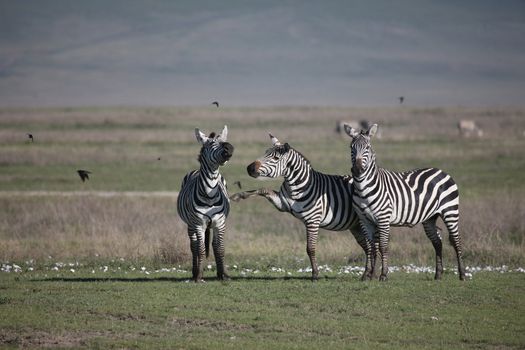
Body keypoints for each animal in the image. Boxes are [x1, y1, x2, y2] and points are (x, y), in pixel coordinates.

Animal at [176, 126, 233, 282]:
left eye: (223, 140)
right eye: (210, 143)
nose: (229, 147)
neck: (210, 195)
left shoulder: (220, 223)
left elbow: (220, 248)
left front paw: (224, 275)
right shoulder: (198, 224)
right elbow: (200, 249)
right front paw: (199, 276)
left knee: (213, 245)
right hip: (190, 224)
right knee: (194, 246)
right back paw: (195, 272)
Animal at [230, 134, 372, 282]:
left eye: (275, 158)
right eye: (265, 153)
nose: (249, 168)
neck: (297, 186)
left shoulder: (313, 221)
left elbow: (310, 248)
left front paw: (315, 275)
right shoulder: (282, 204)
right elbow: (263, 189)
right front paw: (238, 195)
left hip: (363, 221)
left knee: (371, 246)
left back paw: (367, 274)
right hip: (355, 226)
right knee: (367, 246)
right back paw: (369, 274)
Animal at [346, 123, 464, 282]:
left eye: (368, 147)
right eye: (351, 147)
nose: (358, 169)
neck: (363, 189)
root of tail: (442, 171)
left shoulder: (383, 218)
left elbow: (382, 246)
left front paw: (383, 275)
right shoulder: (365, 220)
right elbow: (371, 247)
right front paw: (368, 275)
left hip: (450, 211)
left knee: (456, 241)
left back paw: (462, 274)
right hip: (430, 218)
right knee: (437, 242)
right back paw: (438, 274)